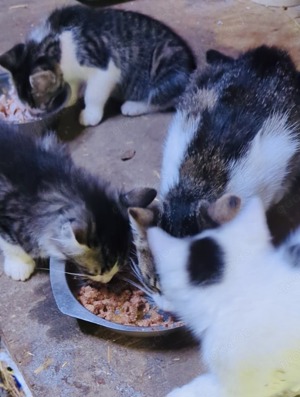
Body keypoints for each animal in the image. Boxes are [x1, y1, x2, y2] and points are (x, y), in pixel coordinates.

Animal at [0, 5, 196, 125]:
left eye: (42, 104)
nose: (33, 114)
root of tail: (191, 66)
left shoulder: (105, 69)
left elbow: (93, 94)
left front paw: (90, 114)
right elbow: (73, 83)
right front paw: (70, 97)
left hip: (166, 62)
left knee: (163, 98)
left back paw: (134, 106)